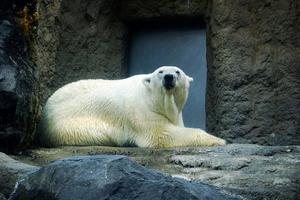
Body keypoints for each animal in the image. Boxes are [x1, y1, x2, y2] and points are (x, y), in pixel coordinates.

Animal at [37, 65, 225, 147]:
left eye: (177, 71)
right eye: (160, 71)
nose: (169, 77)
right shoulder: (143, 111)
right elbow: (162, 134)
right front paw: (219, 139)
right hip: (69, 125)